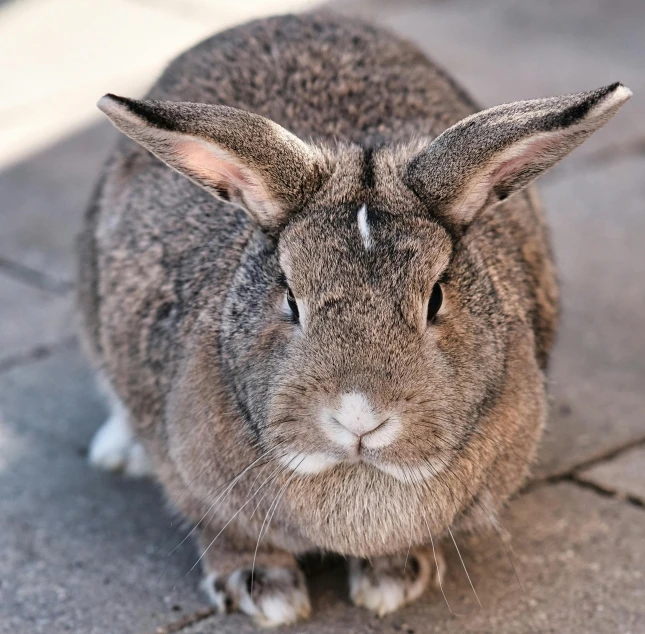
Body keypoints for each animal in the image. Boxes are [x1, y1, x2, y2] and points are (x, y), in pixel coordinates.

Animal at [78, 11, 632, 628]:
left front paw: (393, 580)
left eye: (435, 298)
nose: (359, 418)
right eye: (290, 298)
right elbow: (225, 533)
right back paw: (118, 452)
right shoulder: (193, 481)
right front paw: (266, 595)